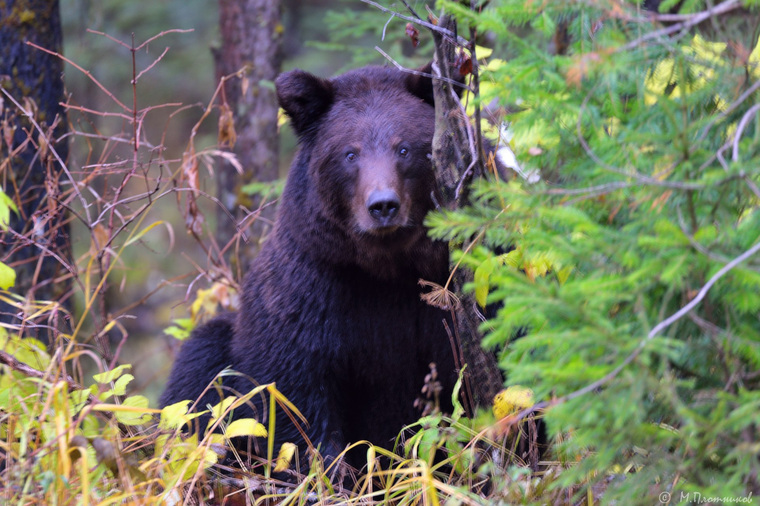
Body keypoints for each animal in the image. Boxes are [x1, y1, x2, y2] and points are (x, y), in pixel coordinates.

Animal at [160, 63, 458, 470]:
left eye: (405, 148)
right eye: (350, 153)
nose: (383, 206)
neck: (386, 267)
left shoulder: (445, 291)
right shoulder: (312, 284)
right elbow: (292, 388)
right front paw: (324, 467)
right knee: (199, 372)